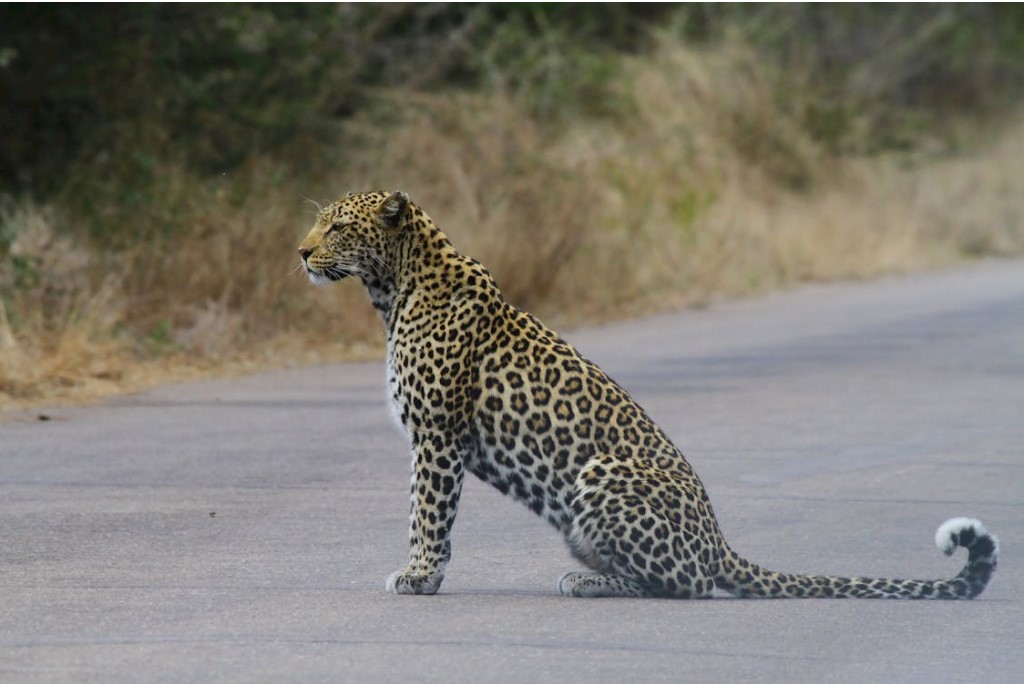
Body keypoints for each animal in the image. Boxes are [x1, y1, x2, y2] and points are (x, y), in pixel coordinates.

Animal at [296, 191, 999, 597]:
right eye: (316, 224)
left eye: (336, 229)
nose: (300, 252)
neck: (392, 289)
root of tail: (718, 540)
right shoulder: (433, 438)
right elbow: (423, 510)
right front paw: (421, 573)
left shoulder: (438, 435)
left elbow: (429, 512)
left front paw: (419, 575)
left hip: (603, 471)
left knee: (686, 584)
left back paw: (586, 583)